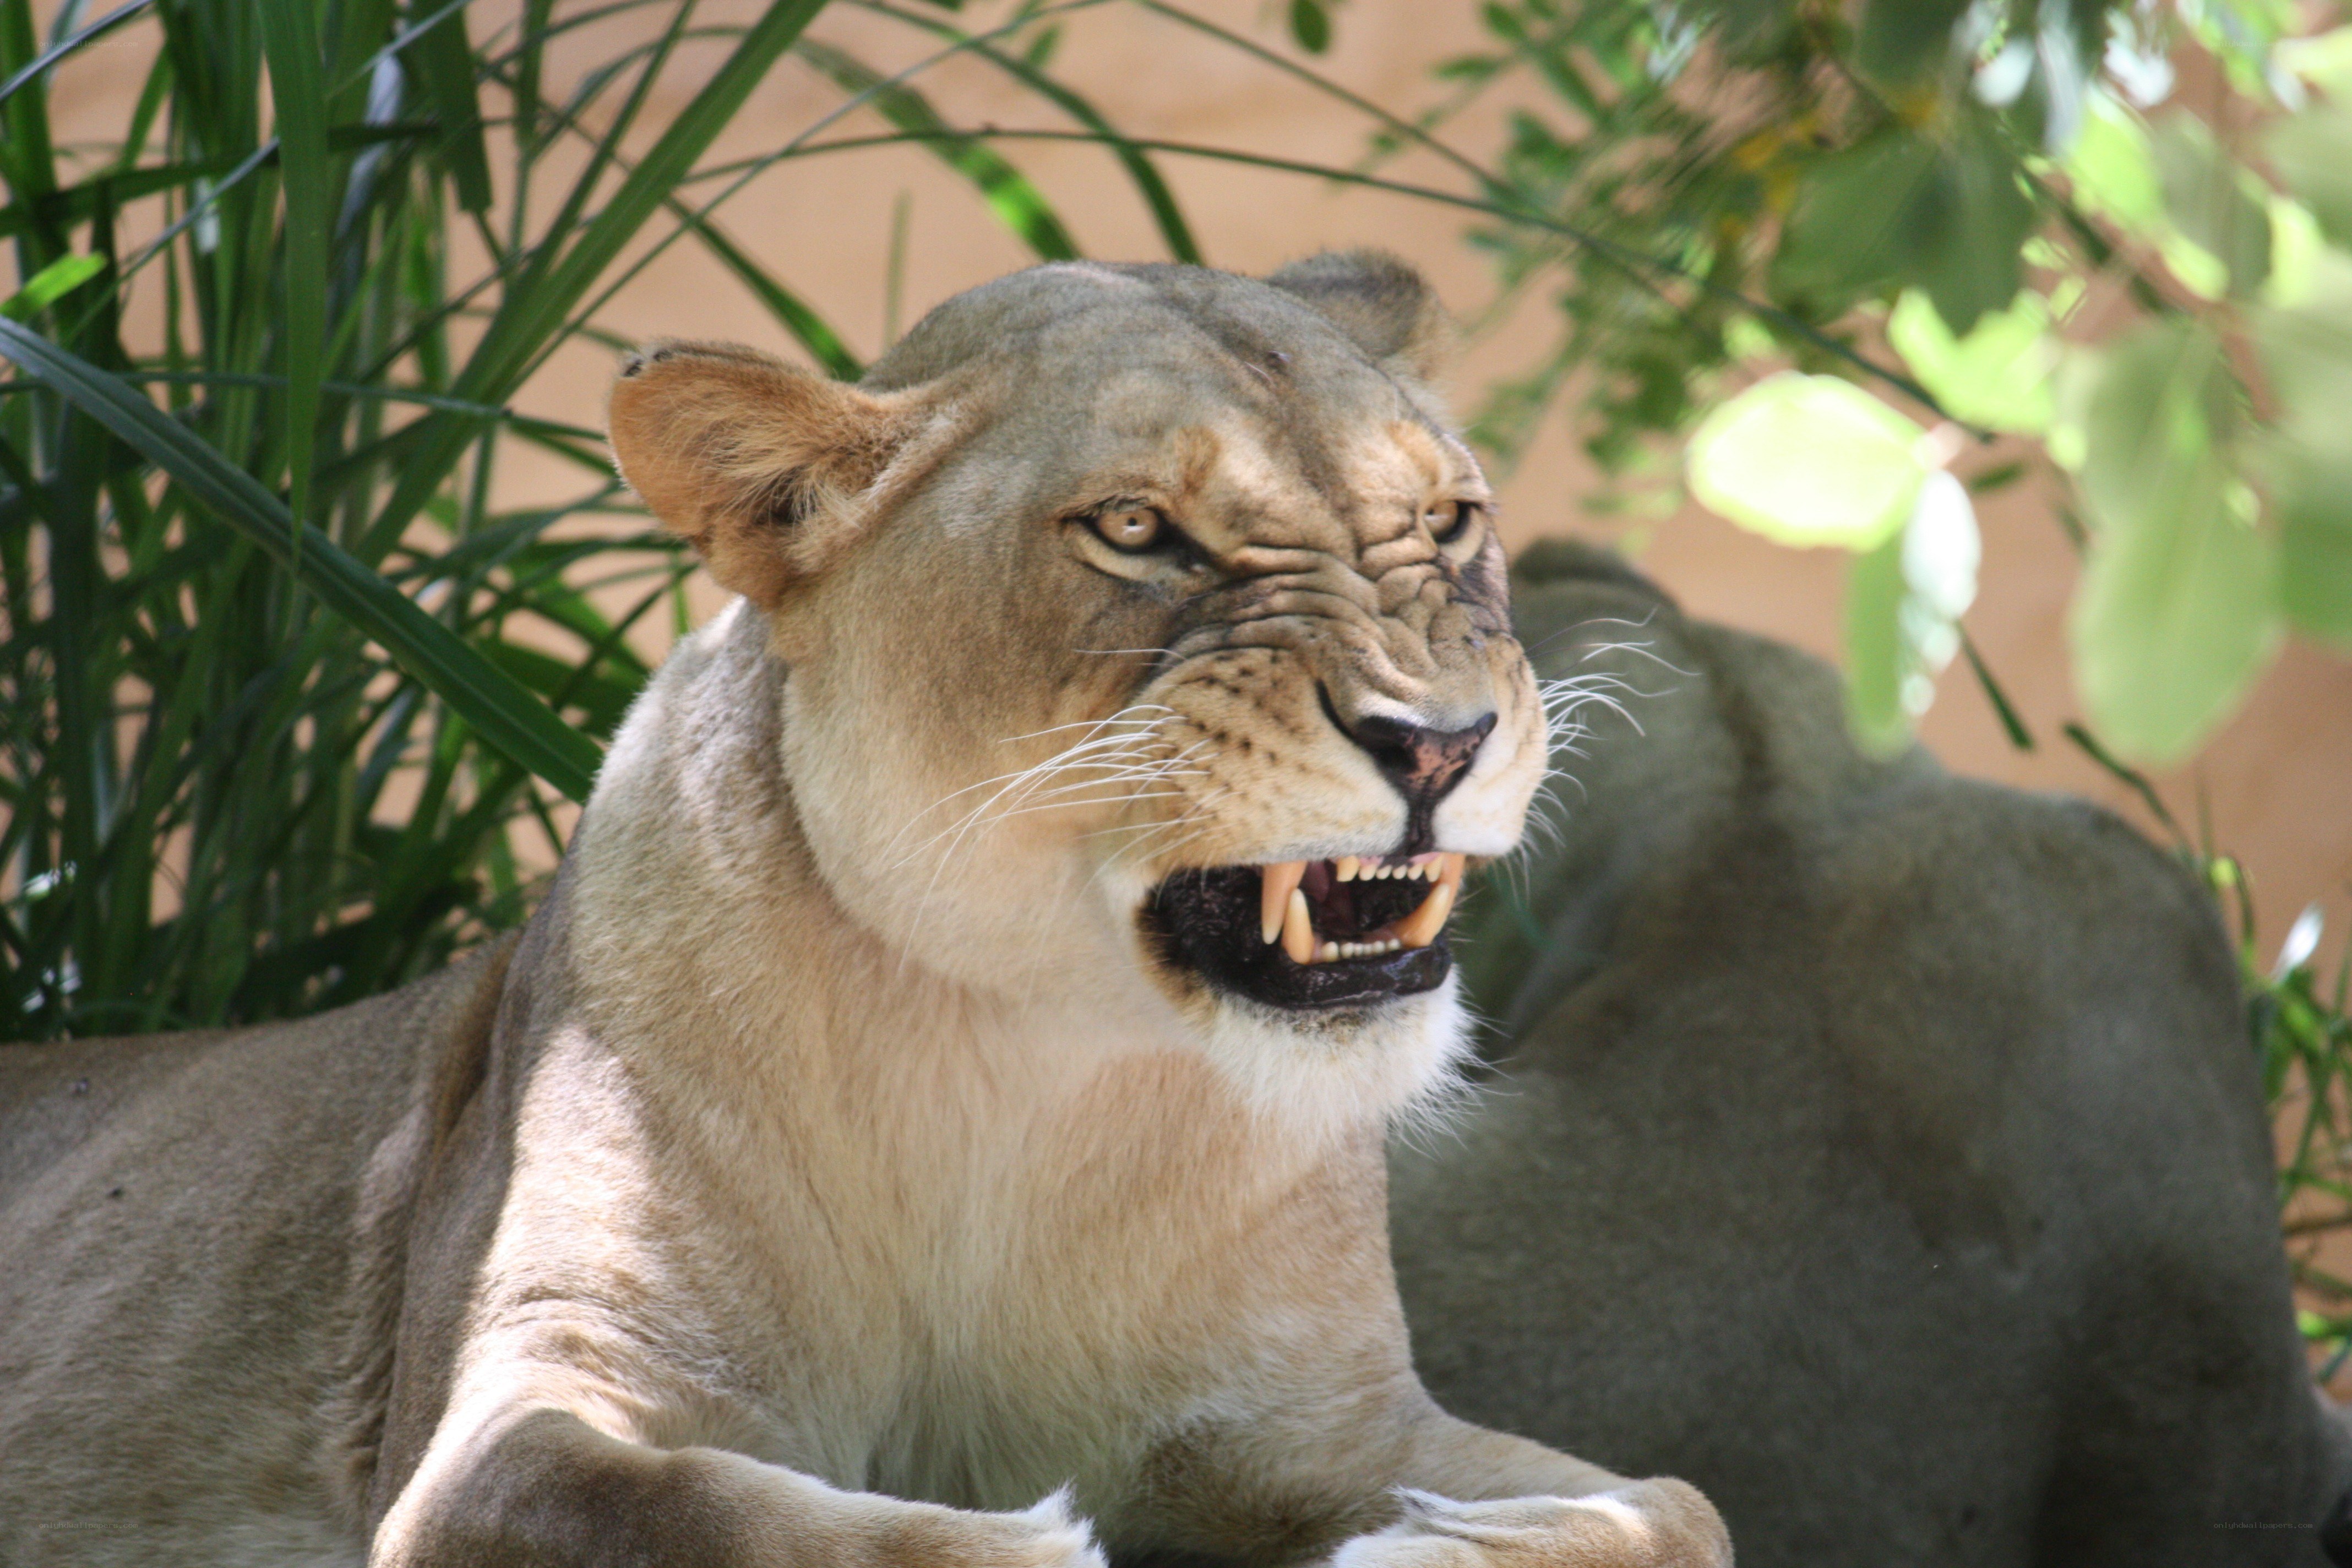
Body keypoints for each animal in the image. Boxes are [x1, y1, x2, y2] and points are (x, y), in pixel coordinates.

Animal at [0, 256, 1728, 1568]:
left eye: (1448, 522)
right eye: (1135, 530)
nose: (1440, 741)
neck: (1023, 1057)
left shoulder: (1327, 1416)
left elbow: (1674, 1504)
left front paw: (1441, 1541)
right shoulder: (515, 1417)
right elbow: (706, 1512)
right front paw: (1029, 1539)